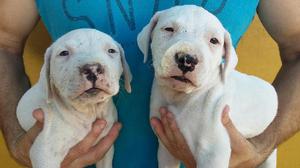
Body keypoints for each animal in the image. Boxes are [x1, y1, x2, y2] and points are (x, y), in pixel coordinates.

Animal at [17, 28, 132, 168]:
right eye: (64, 53)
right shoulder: (45, 153)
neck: (89, 111)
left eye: (111, 51)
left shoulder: (106, 149)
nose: (92, 69)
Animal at [137, 4, 278, 168]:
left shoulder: (213, 152)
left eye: (214, 41)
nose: (187, 60)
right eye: (168, 29)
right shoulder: (167, 148)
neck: (182, 97)